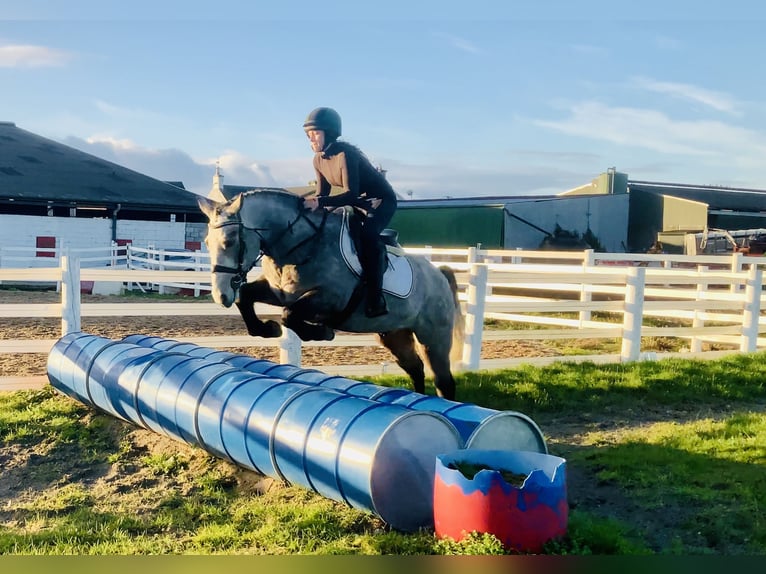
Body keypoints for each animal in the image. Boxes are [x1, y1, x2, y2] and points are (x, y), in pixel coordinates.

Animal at [197, 189, 464, 400]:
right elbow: (246, 297)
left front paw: (321, 332)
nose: (221, 296)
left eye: (230, 241)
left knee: (443, 381)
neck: (299, 244)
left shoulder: (330, 299)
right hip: (394, 334)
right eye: (207, 242)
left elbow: (289, 315)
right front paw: (267, 329)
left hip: (433, 337)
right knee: (416, 369)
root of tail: (439, 274)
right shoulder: (278, 292)